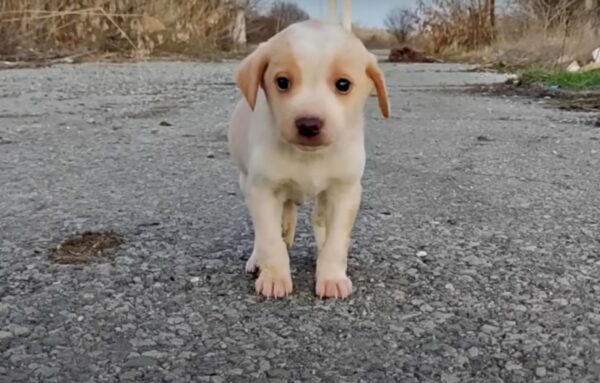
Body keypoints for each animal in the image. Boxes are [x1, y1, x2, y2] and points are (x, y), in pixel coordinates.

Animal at [227, 19, 392, 300]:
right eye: (282, 82)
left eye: (343, 85)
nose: (308, 124)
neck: (308, 156)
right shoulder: (263, 190)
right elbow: (270, 239)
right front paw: (274, 276)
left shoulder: (344, 192)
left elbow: (335, 241)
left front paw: (332, 276)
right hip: (245, 181)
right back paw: (259, 257)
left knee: (313, 219)